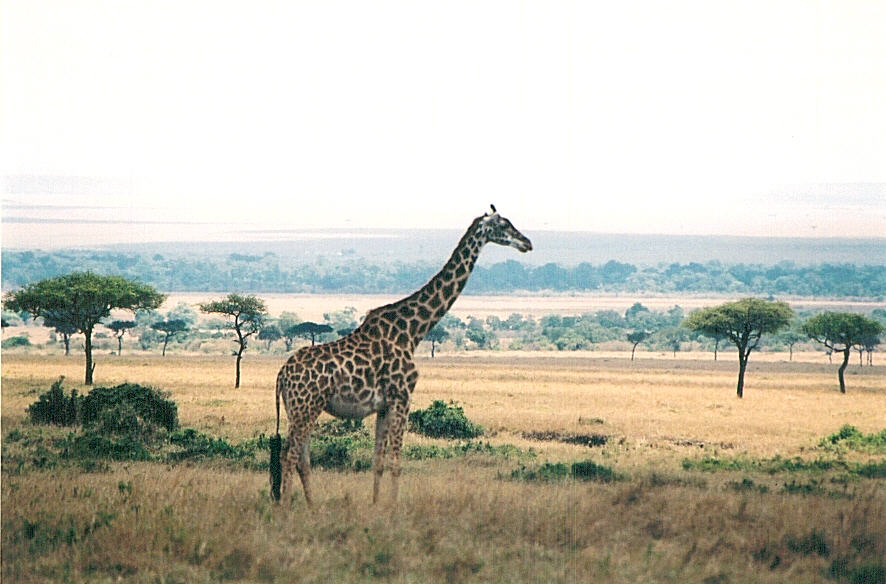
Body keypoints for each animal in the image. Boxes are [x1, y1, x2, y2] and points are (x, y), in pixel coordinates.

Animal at [272, 205, 532, 505]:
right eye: (504, 224)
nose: (527, 243)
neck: (413, 331)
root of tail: (282, 375)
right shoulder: (403, 397)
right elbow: (397, 461)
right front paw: (394, 507)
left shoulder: (384, 405)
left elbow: (378, 460)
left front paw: (375, 504)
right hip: (305, 408)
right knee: (289, 455)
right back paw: (285, 505)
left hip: (300, 409)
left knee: (301, 458)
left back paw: (312, 506)